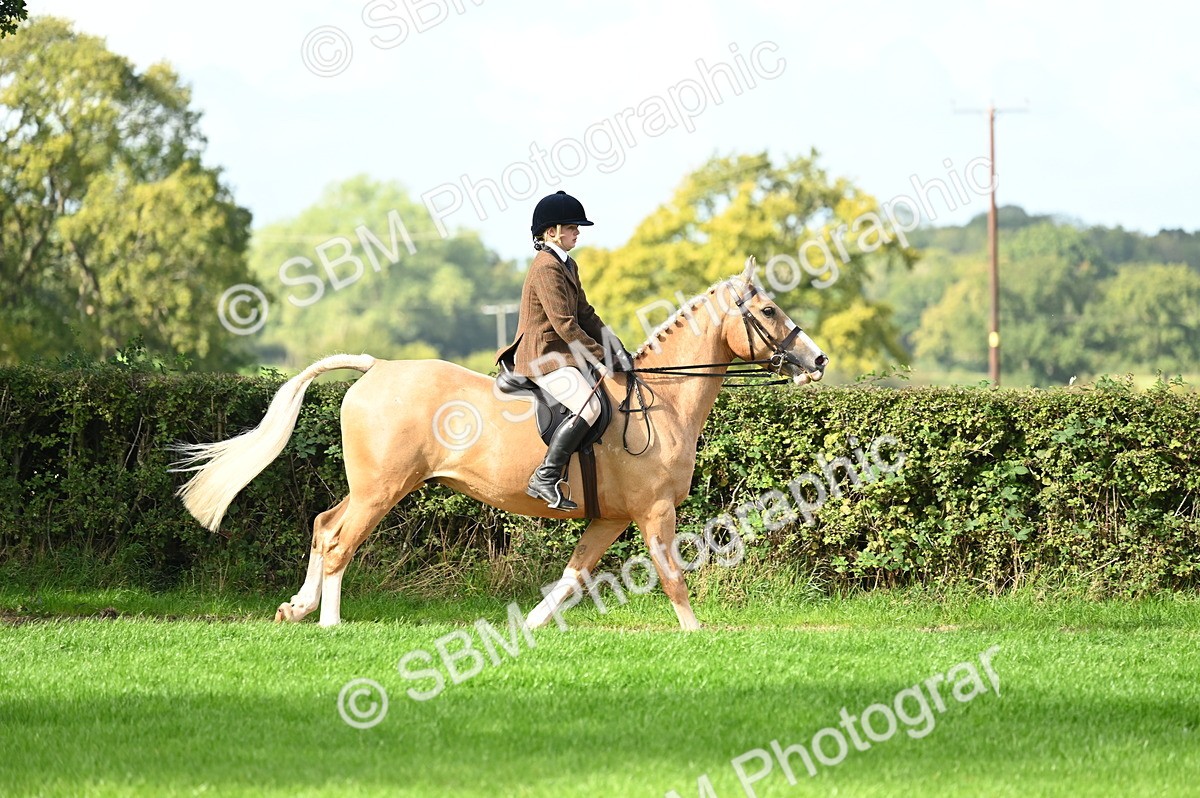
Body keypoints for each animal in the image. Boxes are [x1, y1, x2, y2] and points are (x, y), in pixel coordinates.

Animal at [173, 257, 828, 628]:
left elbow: (572, 577)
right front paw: (695, 635)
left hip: (373, 486)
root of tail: (376, 367)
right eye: (770, 310)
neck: (662, 402)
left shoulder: (610, 518)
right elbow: (671, 575)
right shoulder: (654, 512)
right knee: (339, 540)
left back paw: (299, 607)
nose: (817, 360)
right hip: (383, 488)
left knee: (322, 523)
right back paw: (331, 623)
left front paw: (527, 629)